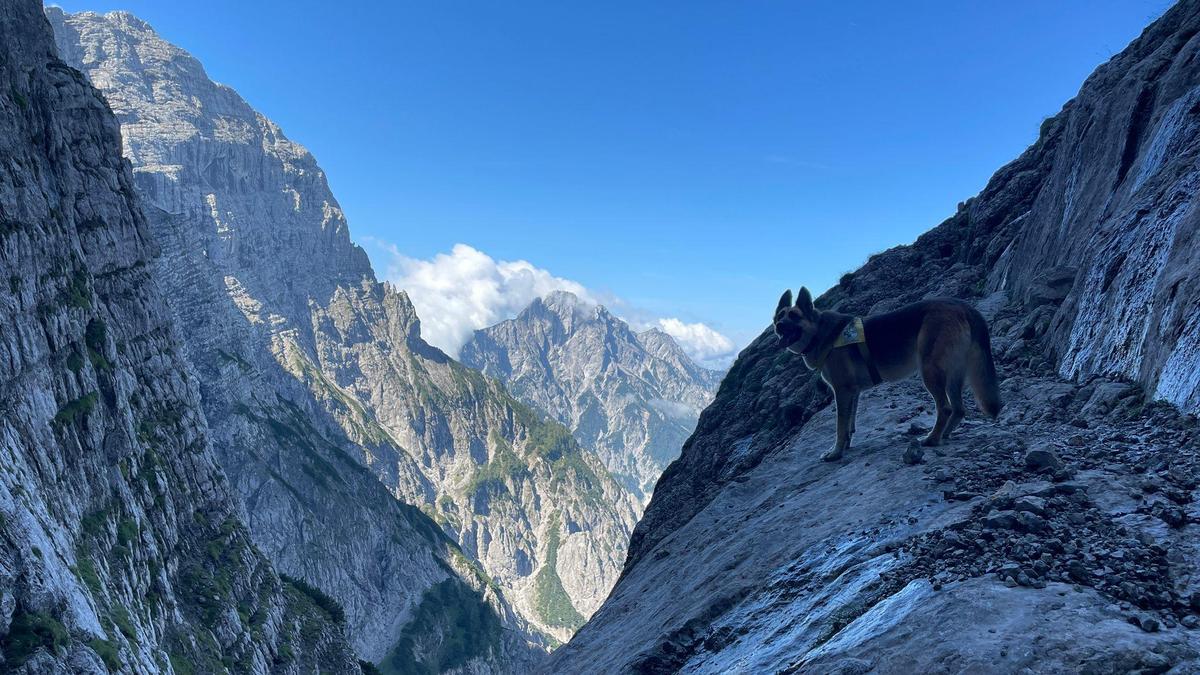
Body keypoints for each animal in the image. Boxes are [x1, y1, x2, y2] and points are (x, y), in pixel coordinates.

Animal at [772, 285, 998, 458]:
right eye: (779, 317)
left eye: (794, 316)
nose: (779, 326)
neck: (819, 332)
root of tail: (962, 305)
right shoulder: (853, 393)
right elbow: (849, 424)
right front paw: (845, 446)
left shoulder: (842, 391)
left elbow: (840, 426)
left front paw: (835, 453)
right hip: (952, 373)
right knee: (959, 409)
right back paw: (945, 435)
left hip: (930, 371)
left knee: (946, 408)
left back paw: (932, 439)